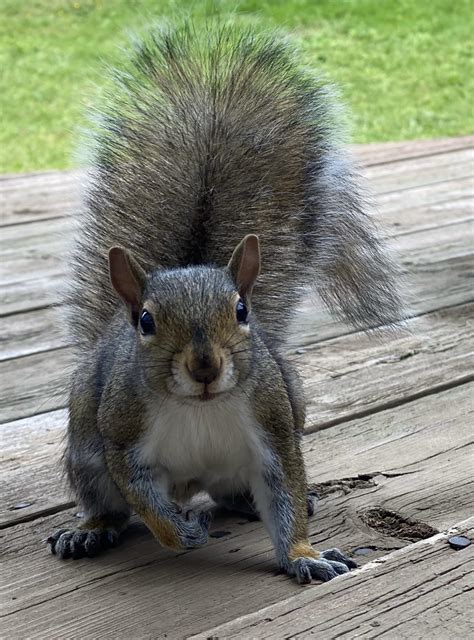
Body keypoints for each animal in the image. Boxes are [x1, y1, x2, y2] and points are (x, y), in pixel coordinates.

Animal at [47, 23, 404, 584]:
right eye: (145, 321)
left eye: (241, 311)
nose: (205, 366)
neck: (201, 406)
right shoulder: (122, 438)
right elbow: (144, 500)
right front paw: (180, 534)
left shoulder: (274, 432)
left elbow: (284, 497)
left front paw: (304, 555)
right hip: (87, 447)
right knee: (110, 502)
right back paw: (91, 528)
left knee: (233, 492)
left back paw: (254, 504)